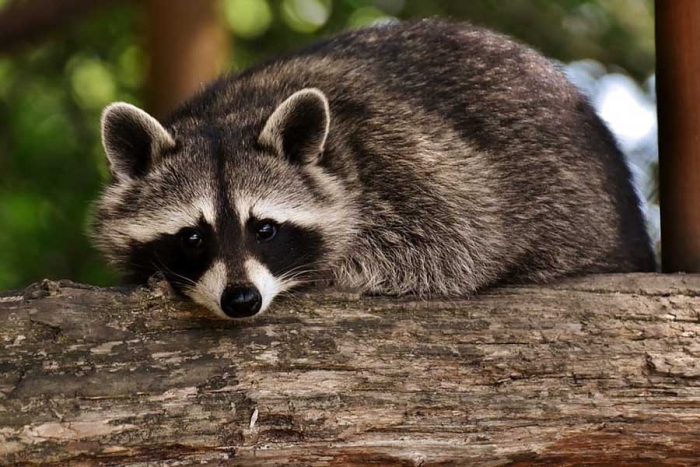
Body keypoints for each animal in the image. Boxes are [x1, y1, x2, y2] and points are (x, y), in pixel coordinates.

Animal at [91, 18, 656, 318]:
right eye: (191, 236)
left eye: (265, 229)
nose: (242, 300)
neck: (230, 115)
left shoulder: (412, 162)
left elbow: (459, 245)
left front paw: (325, 274)